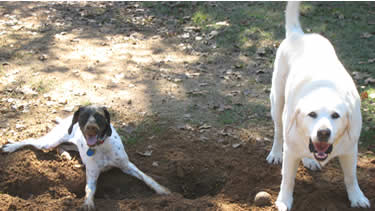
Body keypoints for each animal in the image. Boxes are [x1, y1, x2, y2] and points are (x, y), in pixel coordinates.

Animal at [2, 106, 170, 210]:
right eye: (83, 117)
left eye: (99, 117)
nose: (91, 128)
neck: (101, 147)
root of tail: (67, 119)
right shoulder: (92, 175)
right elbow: (89, 190)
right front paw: (88, 203)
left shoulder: (127, 165)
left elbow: (147, 177)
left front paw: (162, 190)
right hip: (49, 141)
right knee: (32, 140)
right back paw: (10, 146)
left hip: (72, 144)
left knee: (61, 146)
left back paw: (65, 155)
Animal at [268, 2, 372, 211]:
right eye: (312, 114)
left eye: (336, 115)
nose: (323, 133)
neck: (325, 88)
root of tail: (298, 34)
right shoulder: (290, 150)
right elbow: (287, 179)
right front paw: (284, 200)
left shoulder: (350, 150)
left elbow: (351, 177)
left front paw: (357, 197)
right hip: (277, 102)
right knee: (278, 130)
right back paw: (275, 153)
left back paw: (309, 159)